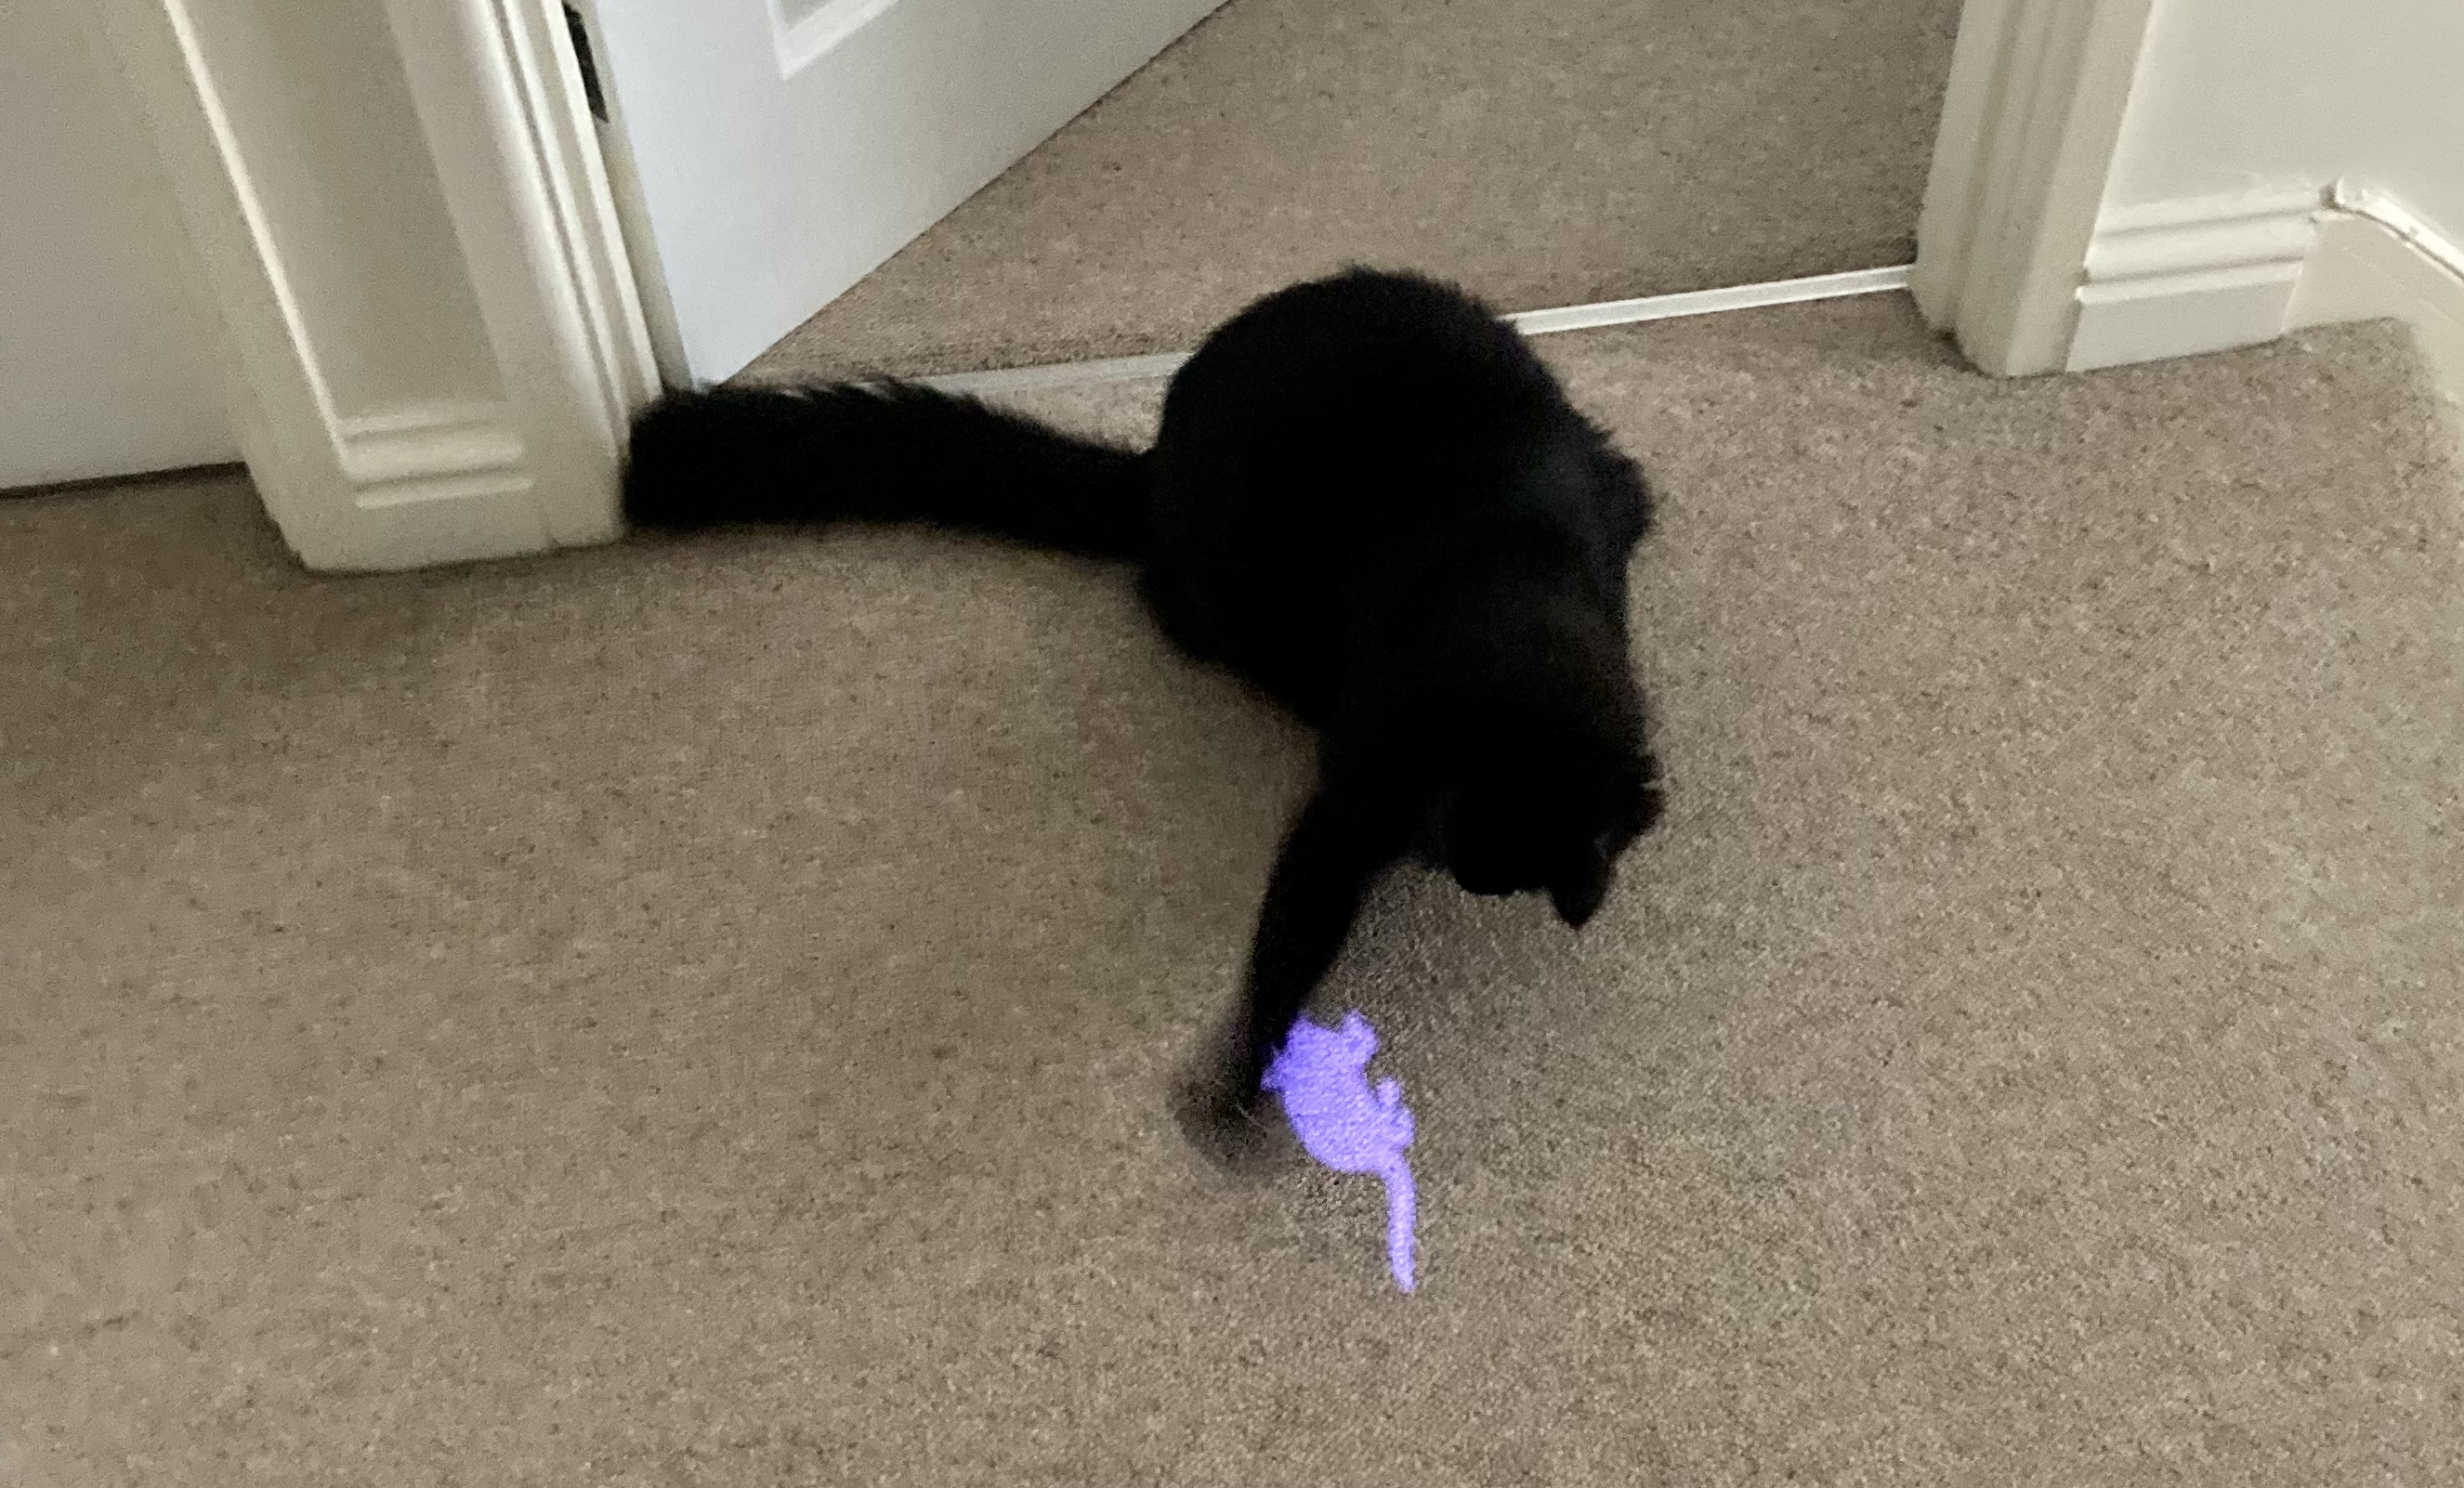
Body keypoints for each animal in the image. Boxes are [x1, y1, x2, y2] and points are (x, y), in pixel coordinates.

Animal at [622, 267, 1664, 1132]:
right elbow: (1290, 937)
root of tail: (1158, 461)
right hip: (1231, 580)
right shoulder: (1359, 795)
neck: (1506, 590)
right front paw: (1245, 1080)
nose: (1489, 889)